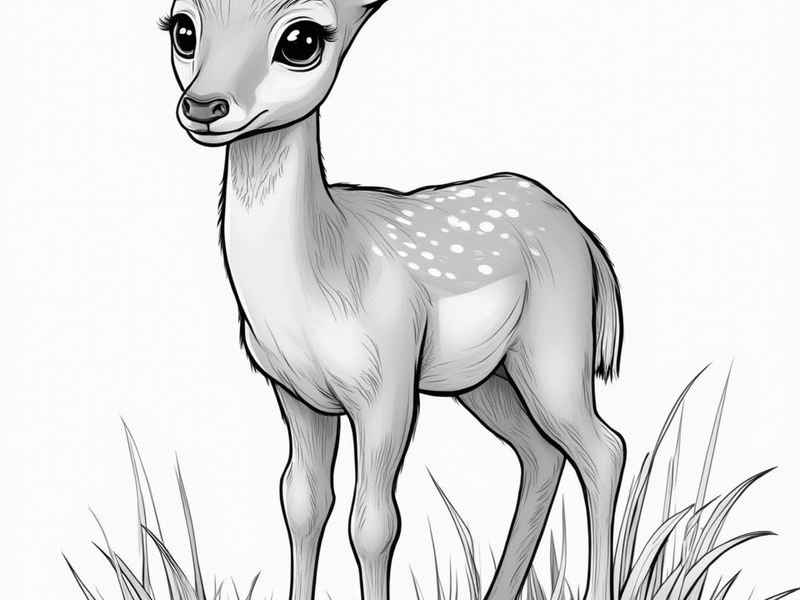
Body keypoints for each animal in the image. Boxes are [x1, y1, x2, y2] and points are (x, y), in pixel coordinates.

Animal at [160, 1, 625, 599]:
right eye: (183, 30)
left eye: (301, 40)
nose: (204, 105)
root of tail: (588, 240)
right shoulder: (296, 393)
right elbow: (303, 503)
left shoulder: (388, 384)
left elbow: (374, 524)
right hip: (486, 379)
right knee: (541, 454)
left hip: (555, 352)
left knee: (603, 449)